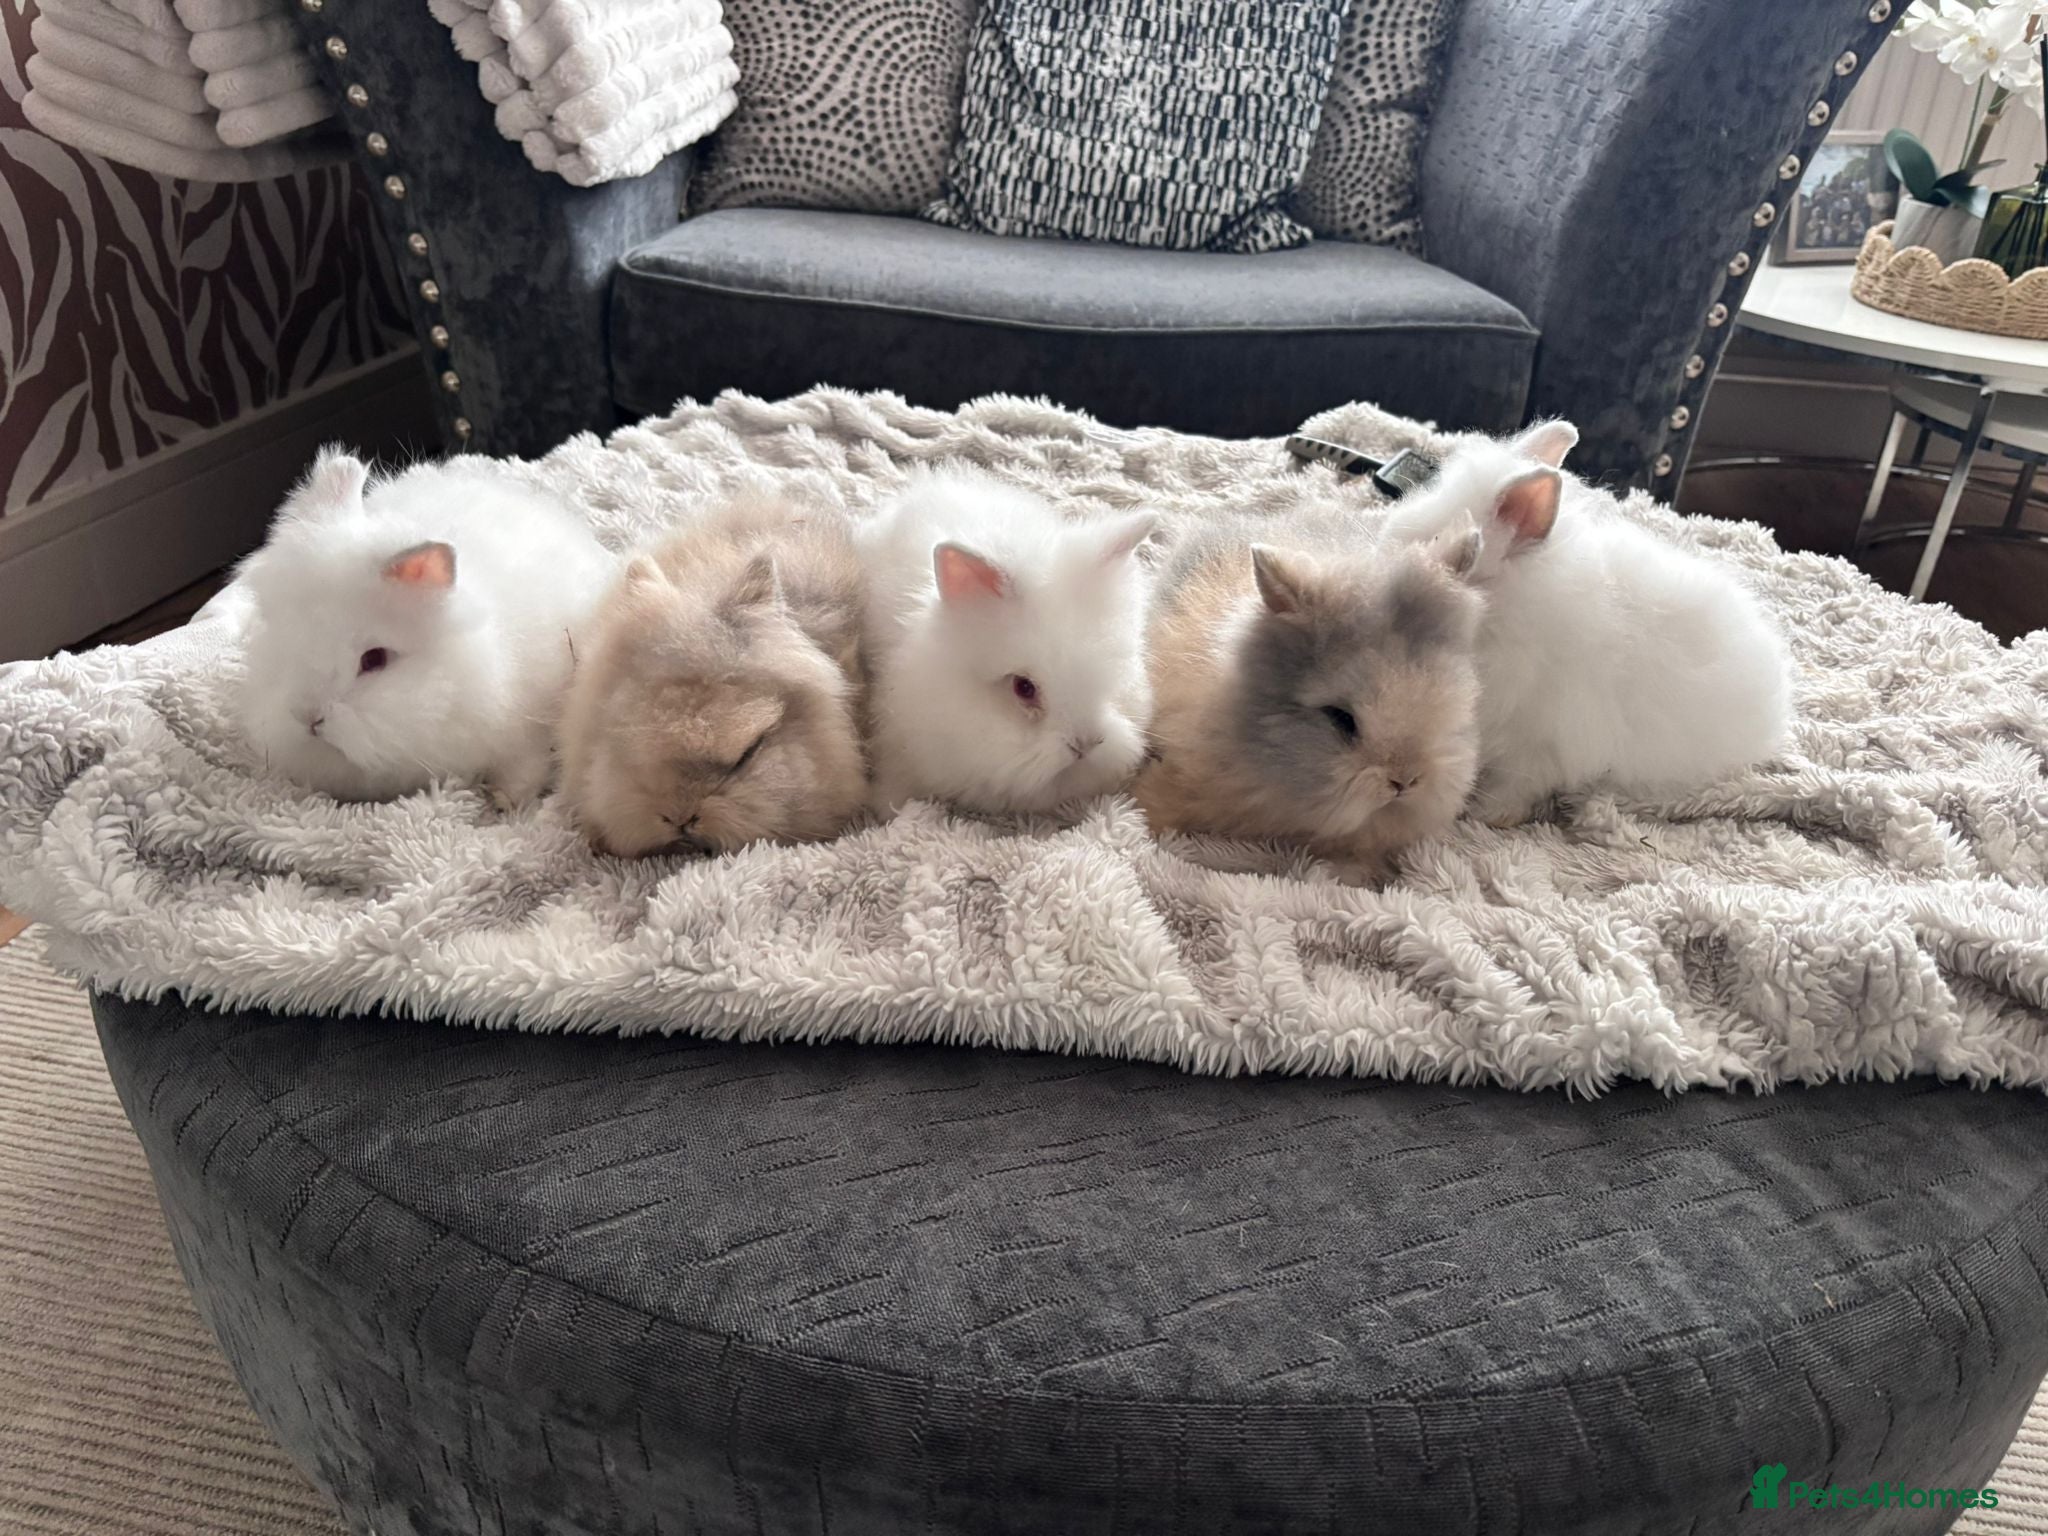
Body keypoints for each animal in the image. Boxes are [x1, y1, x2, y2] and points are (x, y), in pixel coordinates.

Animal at [236, 447, 618, 804]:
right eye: (282, 637)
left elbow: (524, 768)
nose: (307, 717)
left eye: (374, 659)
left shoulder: (526, 731)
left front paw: (503, 799)